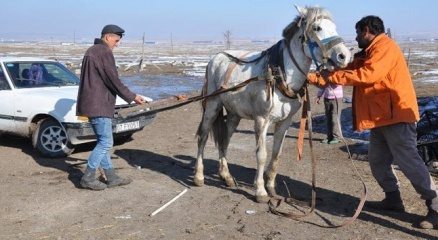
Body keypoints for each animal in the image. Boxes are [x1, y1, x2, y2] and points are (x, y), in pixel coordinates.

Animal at [195, 5, 352, 202]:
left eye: (334, 27)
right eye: (317, 28)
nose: (344, 55)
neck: (279, 75)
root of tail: (214, 59)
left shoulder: (285, 122)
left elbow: (277, 153)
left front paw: (270, 186)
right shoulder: (261, 120)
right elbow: (262, 155)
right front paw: (260, 191)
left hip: (234, 115)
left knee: (224, 141)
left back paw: (226, 176)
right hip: (212, 106)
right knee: (203, 137)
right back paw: (199, 177)